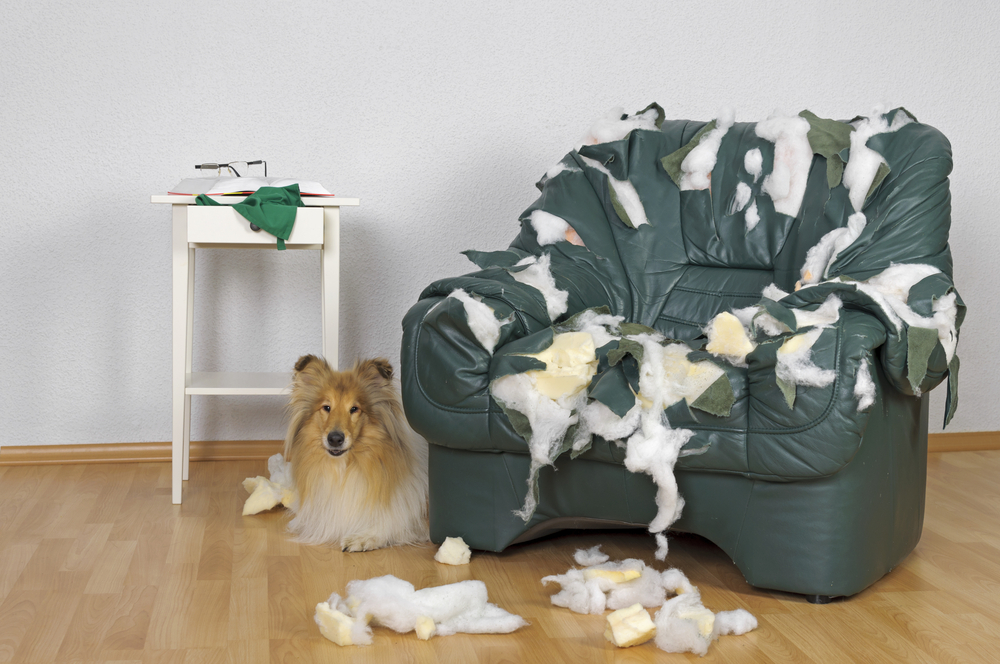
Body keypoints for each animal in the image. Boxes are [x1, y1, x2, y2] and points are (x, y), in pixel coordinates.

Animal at [282, 356, 426, 552]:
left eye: (354, 409)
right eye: (326, 407)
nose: (335, 439)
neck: (345, 468)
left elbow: (393, 523)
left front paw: (361, 538)